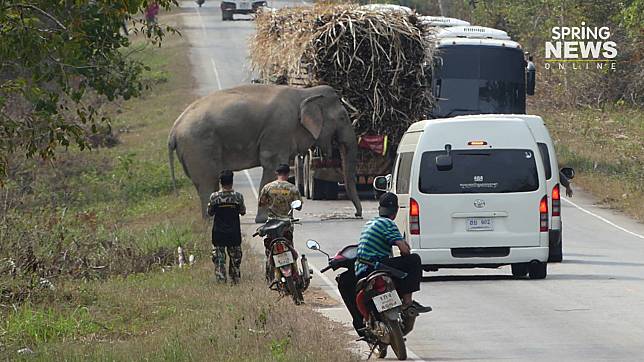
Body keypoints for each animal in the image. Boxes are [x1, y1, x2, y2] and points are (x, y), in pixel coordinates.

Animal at [167, 84, 362, 221]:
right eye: (343, 118)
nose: (357, 215)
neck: (305, 93)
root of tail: (174, 129)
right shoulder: (279, 129)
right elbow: (272, 166)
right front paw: (266, 219)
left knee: (205, 183)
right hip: (199, 147)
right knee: (207, 183)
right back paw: (210, 222)